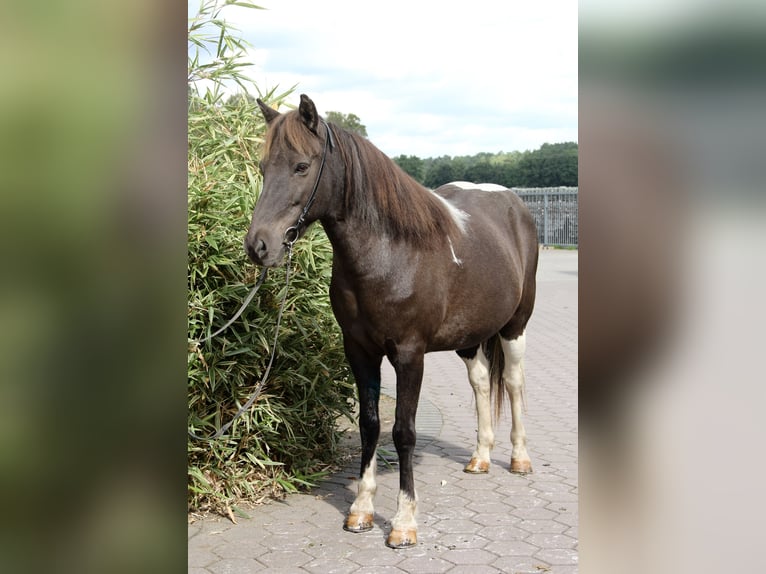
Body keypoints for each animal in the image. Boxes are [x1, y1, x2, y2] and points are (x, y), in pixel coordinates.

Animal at [246, 94, 539, 548]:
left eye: (301, 166)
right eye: (263, 168)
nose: (259, 246)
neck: (388, 254)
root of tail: (515, 206)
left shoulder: (408, 355)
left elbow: (403, 432)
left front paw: (403, 522)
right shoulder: (360, 351)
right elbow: (370, 426)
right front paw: (361, 510)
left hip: (515, 326)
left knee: (512, 383)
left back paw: (519, 458)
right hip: (469, 337)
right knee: (480, 382)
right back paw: (480, 457)